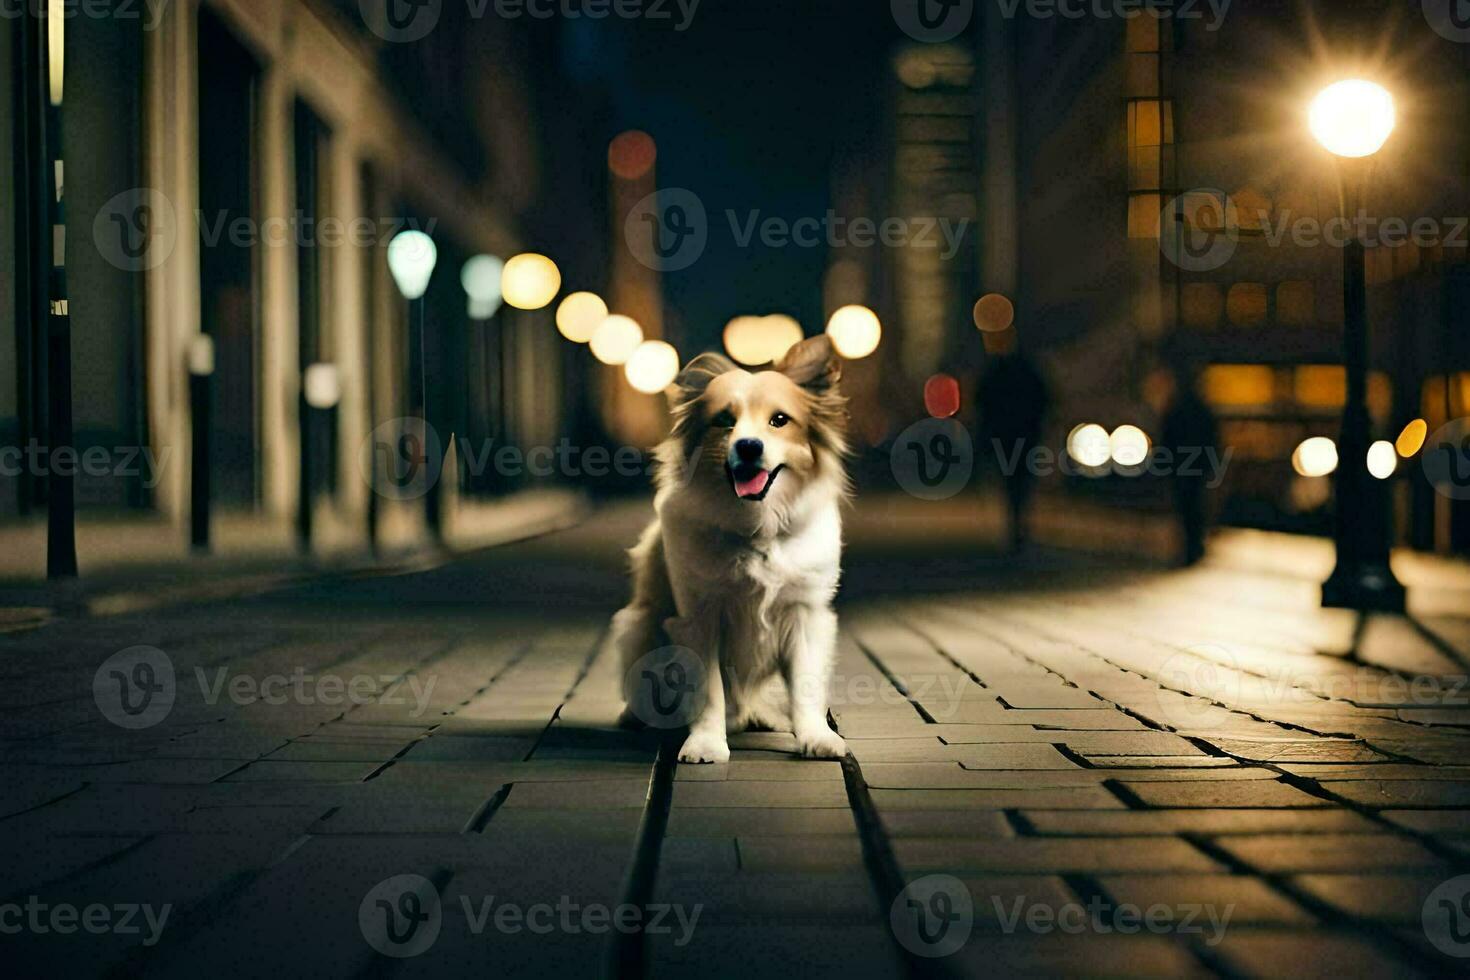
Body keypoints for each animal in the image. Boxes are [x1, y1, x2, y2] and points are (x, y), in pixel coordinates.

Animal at [605, 333, 852, 764]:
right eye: (724, 420)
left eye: (779, 420)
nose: (750, 446)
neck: (756, 529)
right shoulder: (698, 617)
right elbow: (710, 693)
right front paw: (705, 743)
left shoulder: (805, 615)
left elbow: (805, 686)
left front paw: (815, 736)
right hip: (637, 627)